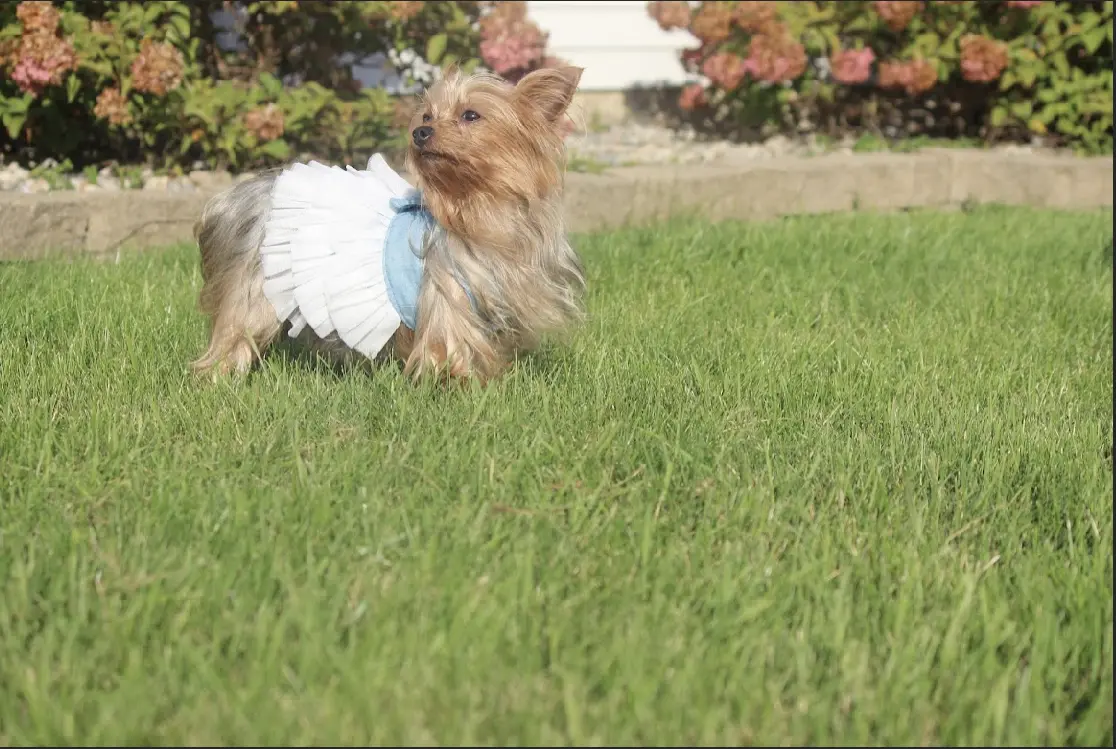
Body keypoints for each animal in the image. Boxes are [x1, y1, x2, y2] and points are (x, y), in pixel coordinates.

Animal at [191, 65, 589, 383]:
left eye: (471, 115)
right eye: (426, 116)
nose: (420, 133)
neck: (478, 212)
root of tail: (236, 196)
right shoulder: (447, 294)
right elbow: (449, 346)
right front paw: (459, 384)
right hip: (254, 289)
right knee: (234, 335)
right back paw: (220, 377)